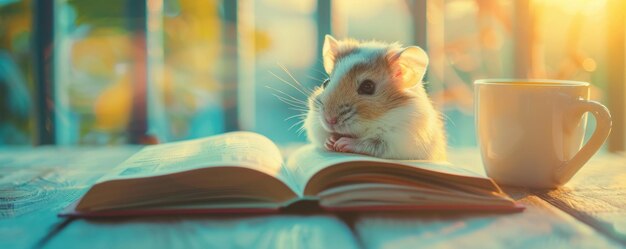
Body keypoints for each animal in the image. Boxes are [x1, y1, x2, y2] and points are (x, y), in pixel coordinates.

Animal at [302, 35, 444, 160]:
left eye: (368, 86)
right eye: (326, 83)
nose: (329, 120)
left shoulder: (399, 141)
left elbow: (370, 143)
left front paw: (342, 143)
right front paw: (330, 141)